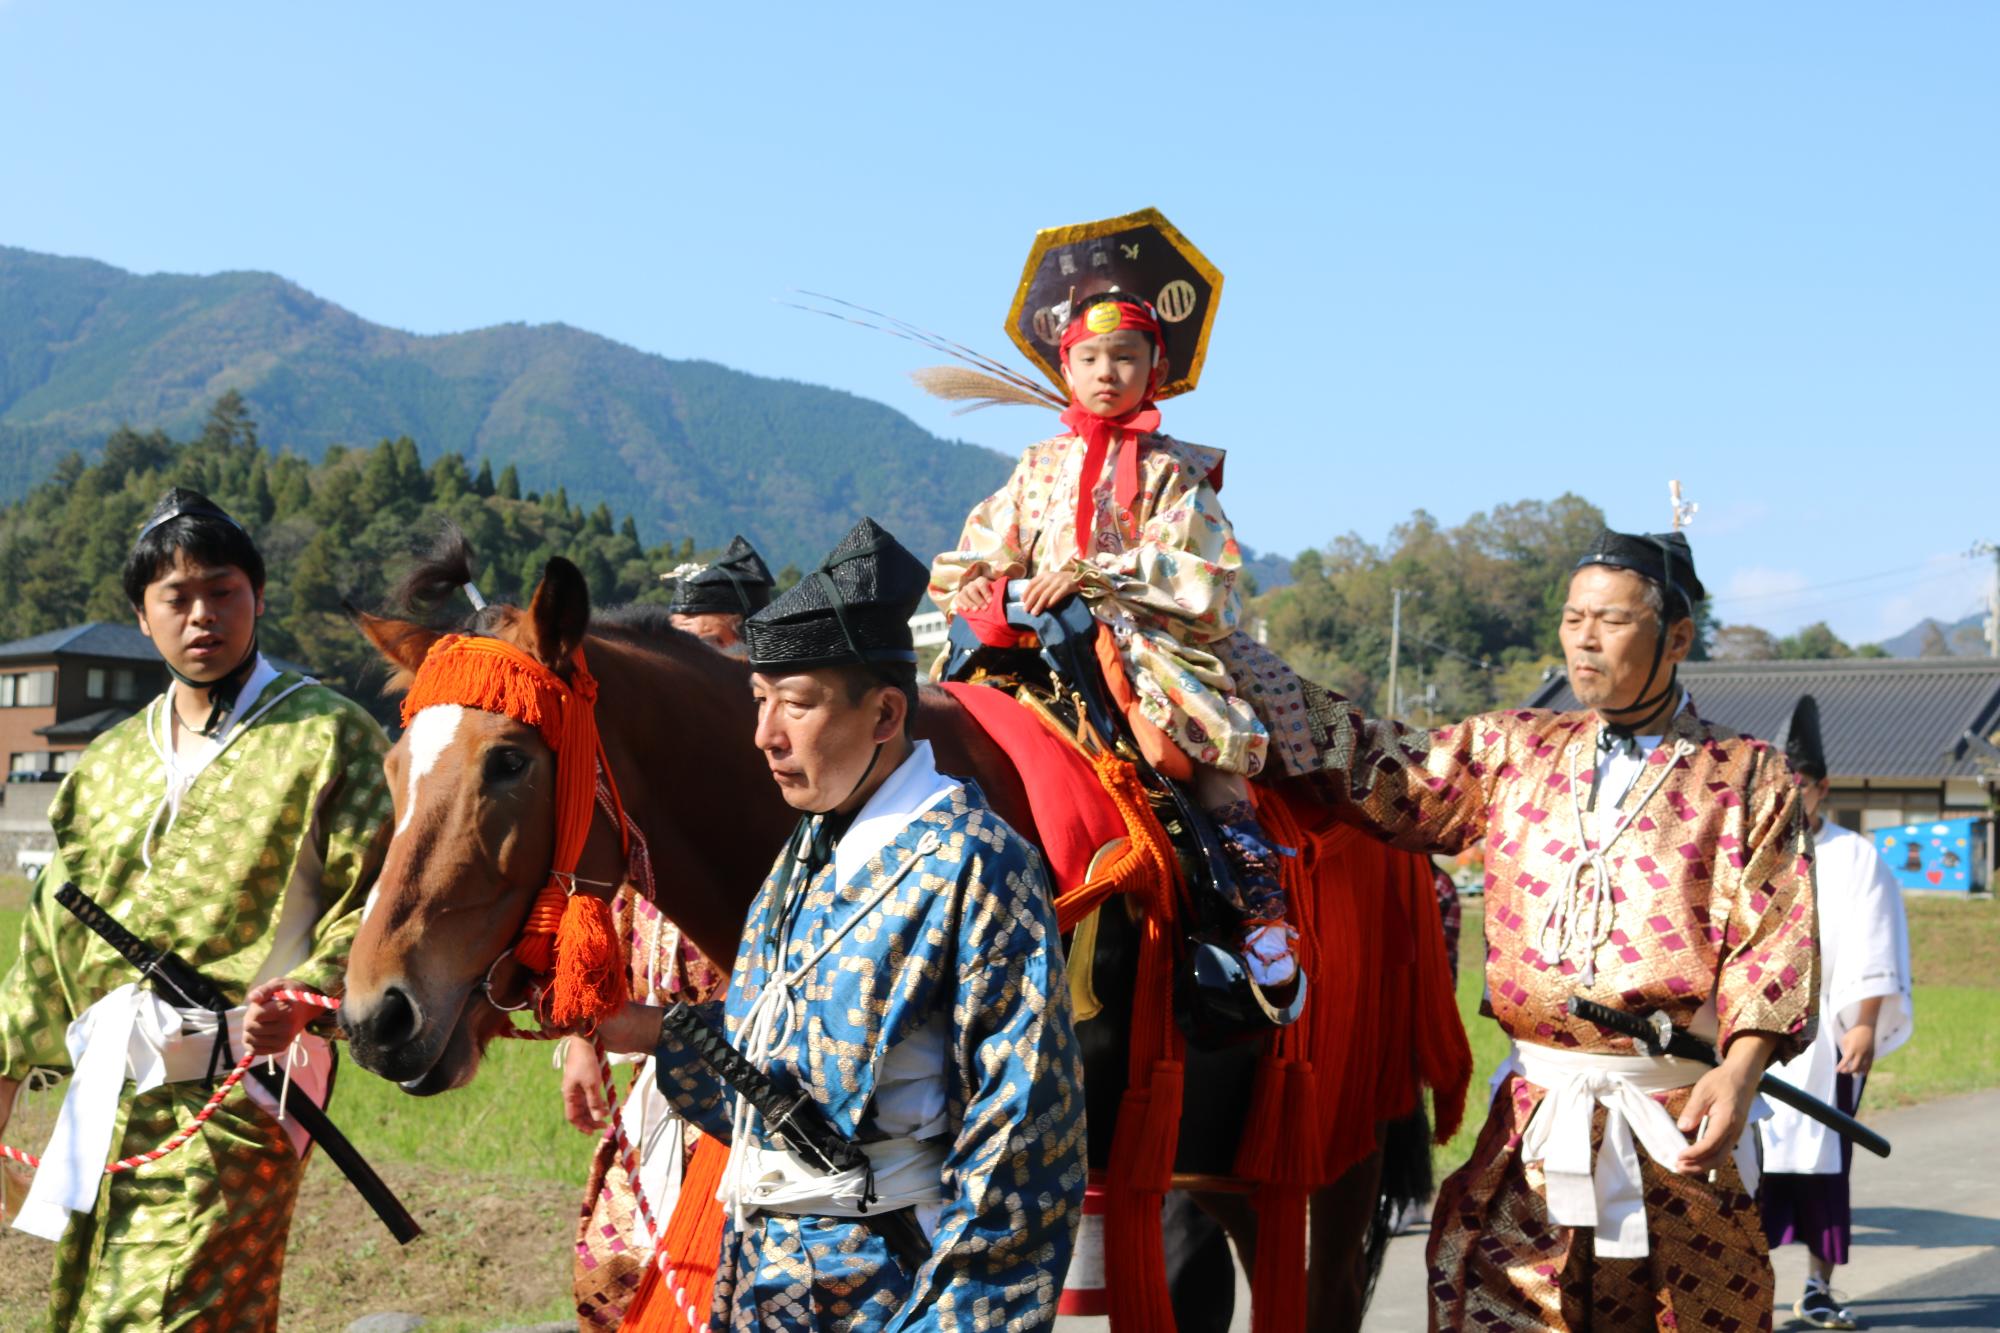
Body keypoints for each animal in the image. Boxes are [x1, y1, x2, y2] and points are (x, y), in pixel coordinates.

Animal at [344, 548, 1440, 1320]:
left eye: (509, 762)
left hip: (1330, 1148)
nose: (374, 1015)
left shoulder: (1017, 1164)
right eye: (393, 767)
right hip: (1224, 1163)